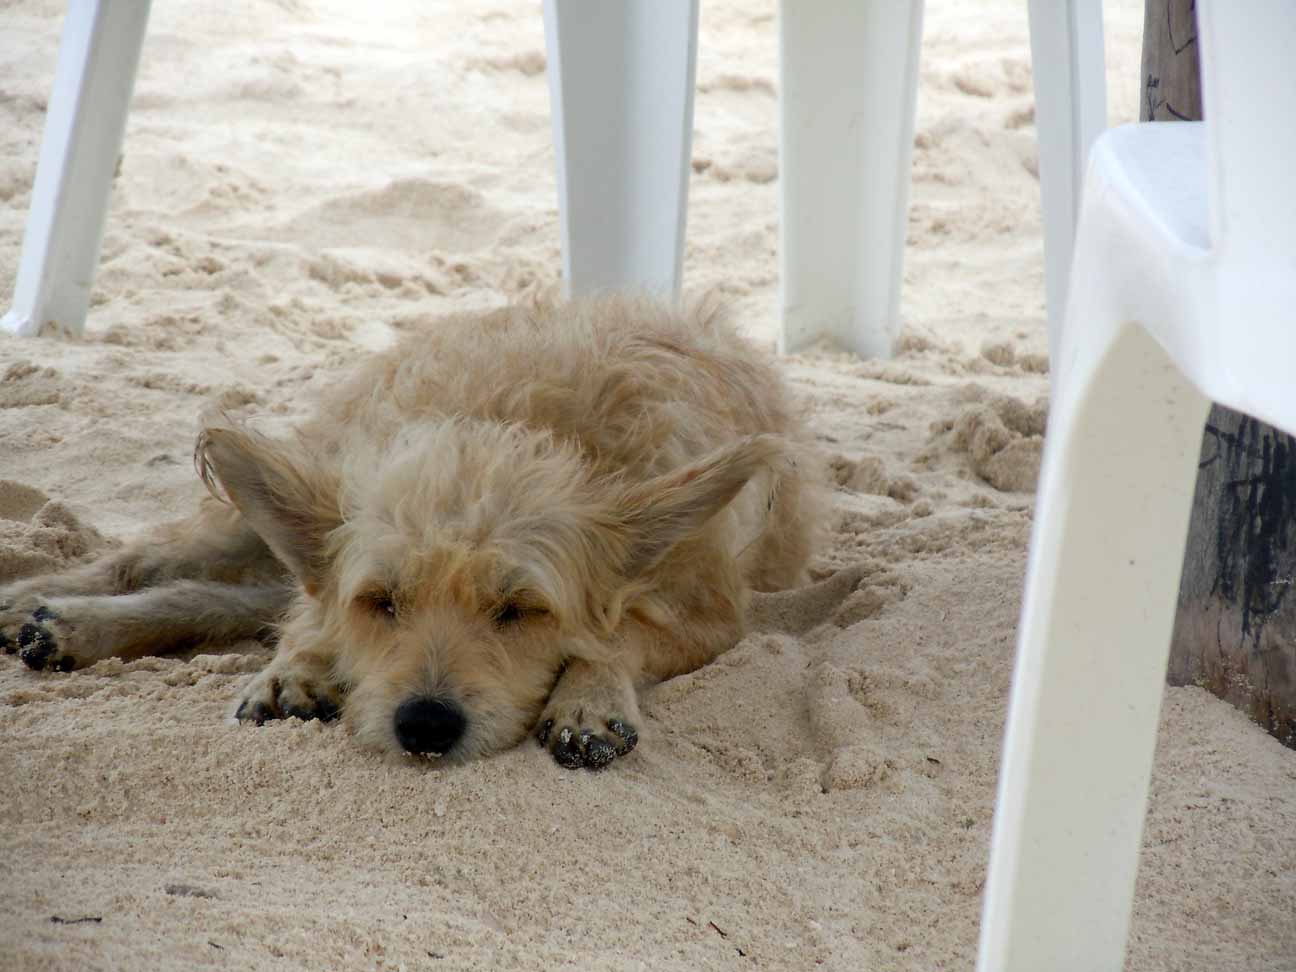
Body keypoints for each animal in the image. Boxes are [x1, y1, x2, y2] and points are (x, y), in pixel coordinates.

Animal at [0, 300, 824, 772]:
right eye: (382, 601)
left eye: (518, 611)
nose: (425, 724)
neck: (520, 428)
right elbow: (309, 621)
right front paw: (295, 669)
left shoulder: (712, 617)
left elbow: (619, 634)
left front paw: (588, 698)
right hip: (289, 491)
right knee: (158, 558)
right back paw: (47, 604)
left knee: (237, 598)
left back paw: (66, 624)